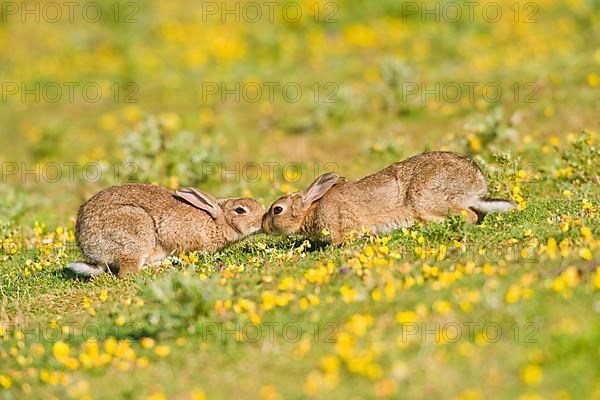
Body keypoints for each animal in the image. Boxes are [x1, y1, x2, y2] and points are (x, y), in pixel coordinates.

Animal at [67, 183, 264, 276]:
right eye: (240, 210)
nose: (263, 219)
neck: (215, 222)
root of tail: (92, 251)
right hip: (137, 236)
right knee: (129, 271)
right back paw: (165, 264)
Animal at [262, 151, 516, 244]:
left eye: (277, 209)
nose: (263, 226)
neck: (312, 209)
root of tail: (476, 187)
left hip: (426, 201)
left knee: (468, 217)